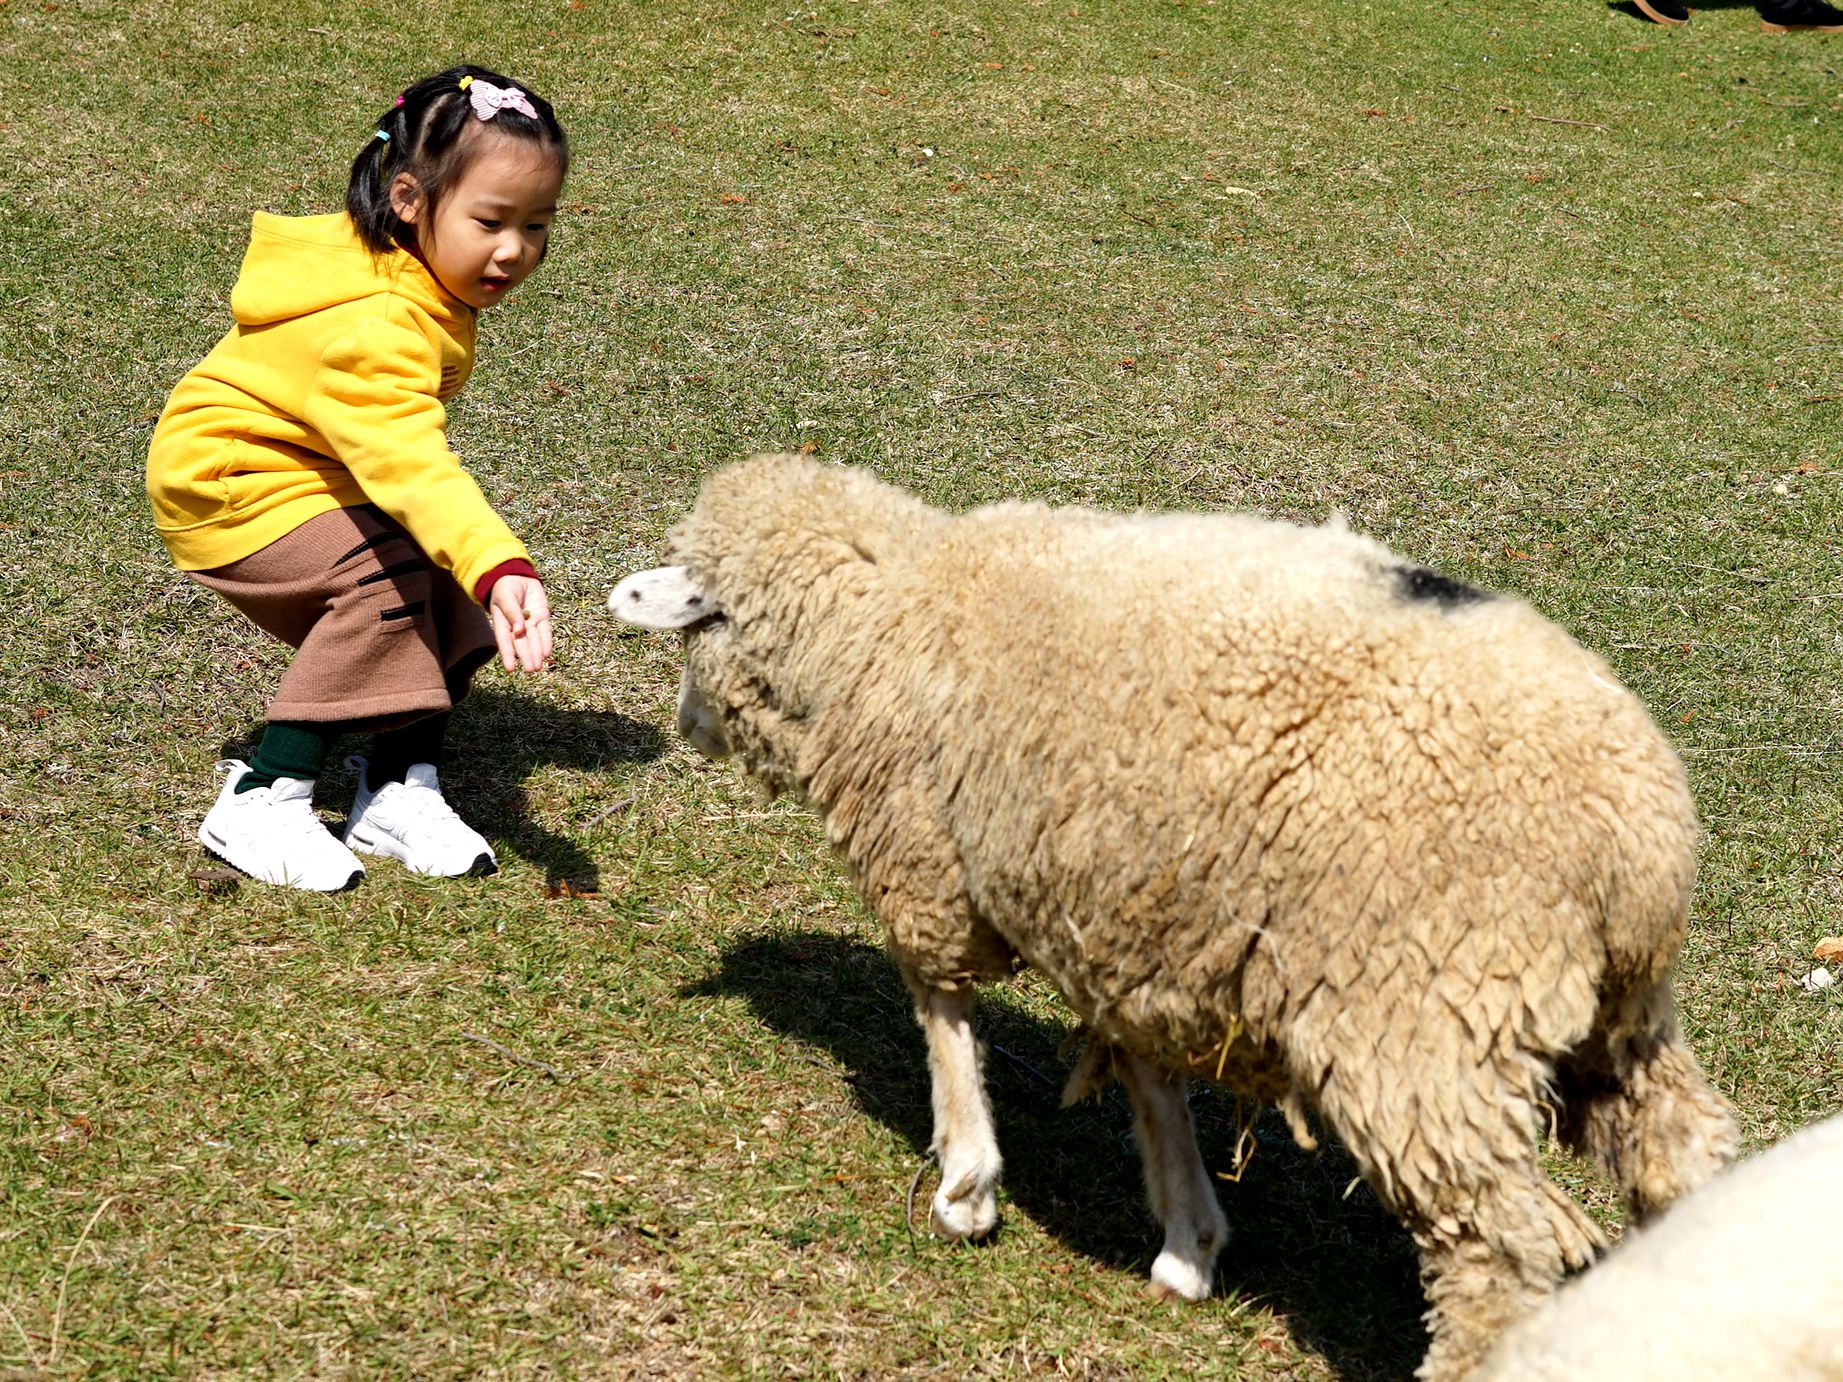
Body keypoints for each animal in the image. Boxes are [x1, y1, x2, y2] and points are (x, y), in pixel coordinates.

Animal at [608, 456, 1739, 1382]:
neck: (895, 605)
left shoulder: (929, 858)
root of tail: (1636, 831)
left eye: (696, 616)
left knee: (1496, 1248)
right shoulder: (1135, 916)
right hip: (1614, 1019)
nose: (685, 725)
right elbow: (1149, 1077)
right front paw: (1188, 1241)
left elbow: (941, 1010)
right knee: (1681, 1157)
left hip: (1421, 1020)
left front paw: (968, 1182)